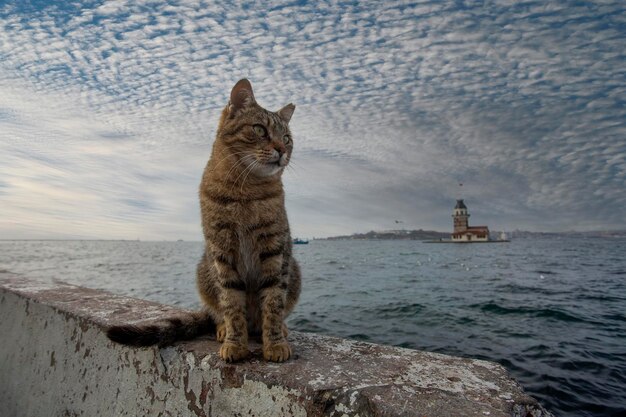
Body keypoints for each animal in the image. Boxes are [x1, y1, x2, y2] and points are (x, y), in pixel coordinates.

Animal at [105, 79, 300, 362]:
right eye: (259, 129)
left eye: (287, 138)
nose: (282, 150)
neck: (246, 190)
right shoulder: (222, 249)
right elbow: (231, 304)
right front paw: (234, 342)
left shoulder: (274, 248)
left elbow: (274, 301)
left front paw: (274, 343)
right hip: (204, 272)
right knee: (219, 313)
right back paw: (223, 328)